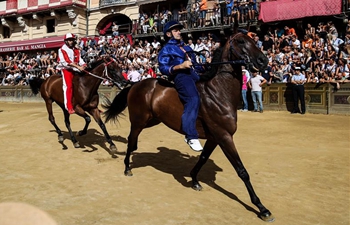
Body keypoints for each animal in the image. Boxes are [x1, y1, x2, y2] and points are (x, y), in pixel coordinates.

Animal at [102, 33, 274, 221]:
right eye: (242, 41)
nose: (263, 60)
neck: (218, 92)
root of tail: (135, 84)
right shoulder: (224, 136)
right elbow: (241, 170)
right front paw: (262, 208)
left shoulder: (214, 138)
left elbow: (203, 158)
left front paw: (195, 180)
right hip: (139, 121)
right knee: (131, 140)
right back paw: (127, 167)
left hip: (152, 120)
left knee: (133, 141)